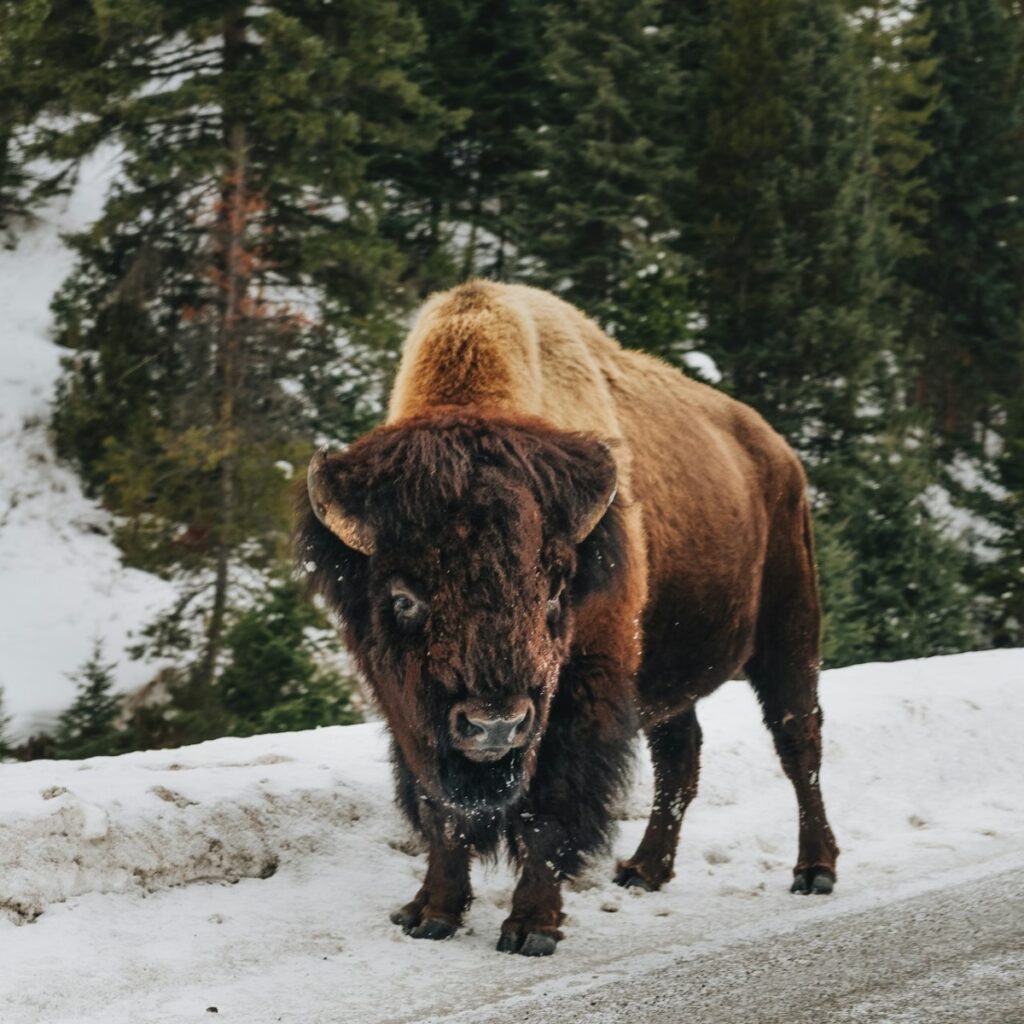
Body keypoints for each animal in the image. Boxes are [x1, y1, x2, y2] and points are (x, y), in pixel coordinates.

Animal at [296, 281, 838, 956]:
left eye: (555, 592)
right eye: (403, 597)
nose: (496, 724)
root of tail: (778, 453)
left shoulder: (576, 700)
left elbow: (548, 813)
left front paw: (532, 926)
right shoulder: (411, 717)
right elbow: (441, 812)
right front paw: (430, 914)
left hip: (789, 634)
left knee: (798, 741)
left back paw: (814, 870)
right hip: (668, 672)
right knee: (680, 757)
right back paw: (644, 870)